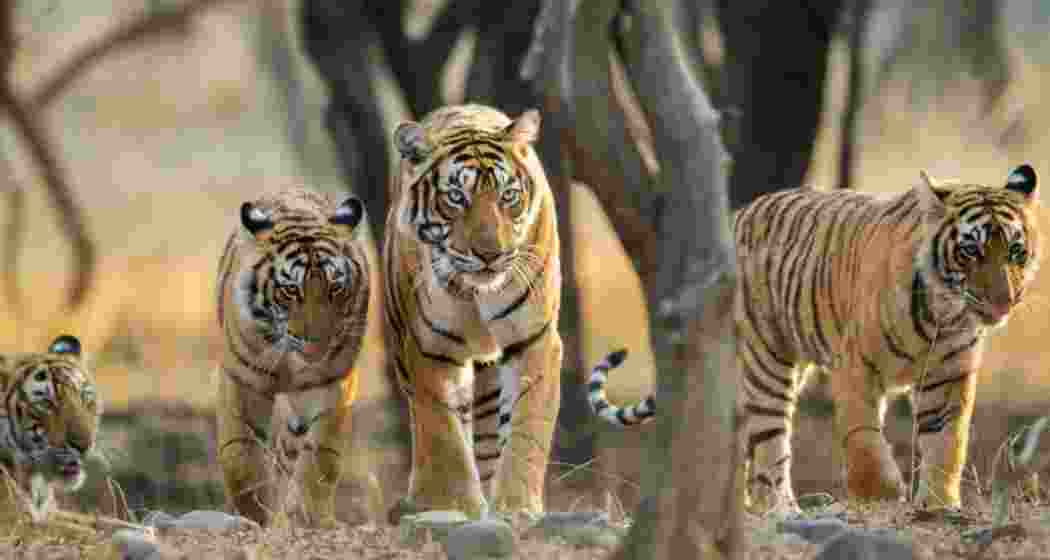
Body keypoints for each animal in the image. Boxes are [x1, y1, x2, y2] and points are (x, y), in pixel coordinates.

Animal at [215, 188, 370, 528]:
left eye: (335, 287)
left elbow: (321, 456)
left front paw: (308, 517)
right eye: (290, 290)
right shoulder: (243, 380)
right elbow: (240, 455)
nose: (318, 342)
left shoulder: (331, 384)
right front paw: (255, 514)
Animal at [384, 104, 562, 519]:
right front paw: (453, 505)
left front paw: (516, 506)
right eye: (455, 197)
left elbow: (527, 424)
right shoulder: (430, 348)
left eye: (508, 196)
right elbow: (442, 432)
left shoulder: (534, 339)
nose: (490, 254)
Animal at [587, 164, 1041, 513]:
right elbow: (862, 437)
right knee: (770, 445)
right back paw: (781, 510)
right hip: (766, 363)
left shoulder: (948, 376)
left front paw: (938, 504)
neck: (943, 313)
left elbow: (946, 443)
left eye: (1015, 252)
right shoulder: (857, 366)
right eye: (971, 251)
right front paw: (882, 493)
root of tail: (735, 216)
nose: (1003, 300)